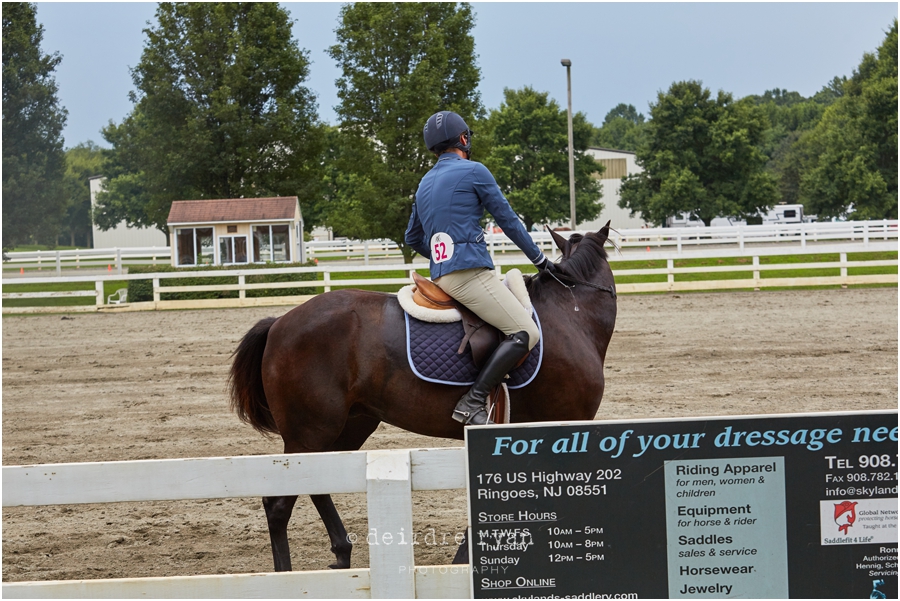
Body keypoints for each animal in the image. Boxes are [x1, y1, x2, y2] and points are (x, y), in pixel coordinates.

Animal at [229, 223, 616, 568]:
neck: (570, 315)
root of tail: (280, 323)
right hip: (309, 432)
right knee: (278, 506)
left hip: (347, 426)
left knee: (316, 483)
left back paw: (342, 553)